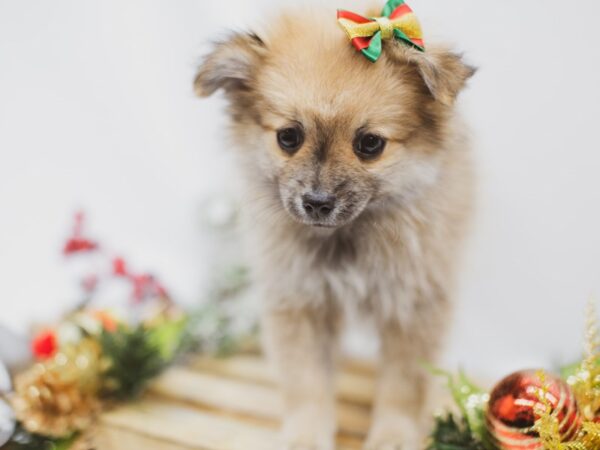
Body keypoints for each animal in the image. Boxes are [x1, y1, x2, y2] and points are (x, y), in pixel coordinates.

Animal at [195, 4, 476, 450]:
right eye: (288, 137)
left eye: (370, 144)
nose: (317, 201)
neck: (347, 238)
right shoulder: (300, 301)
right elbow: (306, 382)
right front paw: (307, 436)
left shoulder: (413, 308)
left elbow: (402, 386)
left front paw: (394, 435)